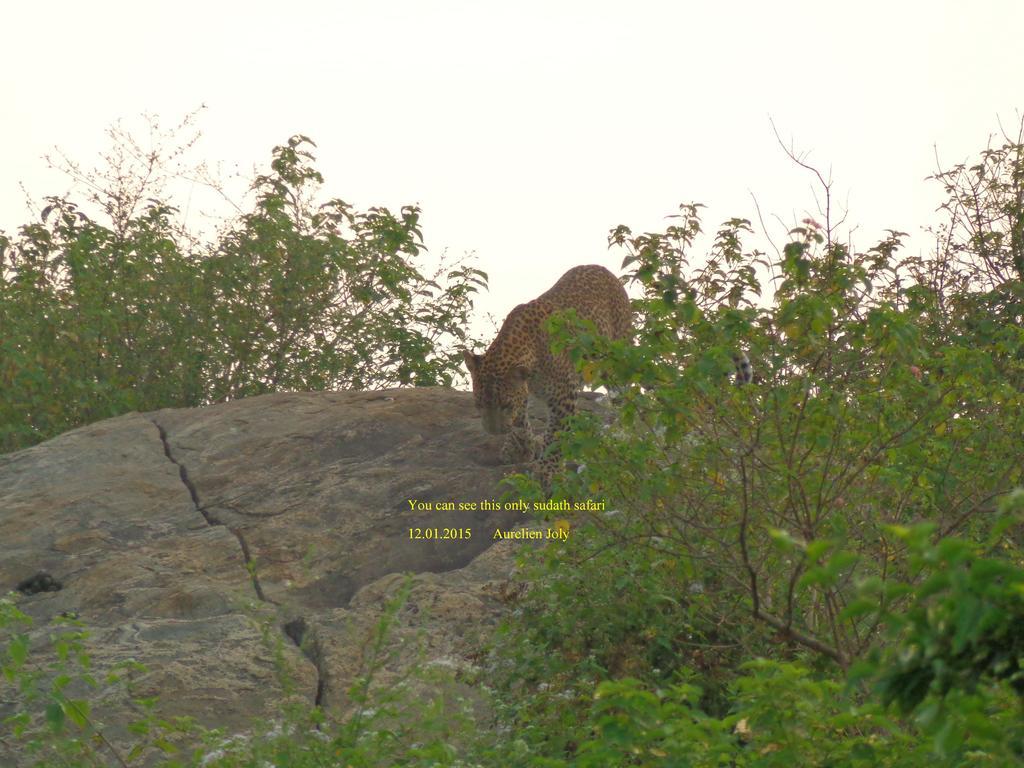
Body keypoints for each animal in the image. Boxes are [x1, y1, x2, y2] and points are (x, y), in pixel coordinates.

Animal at [464, 264, 630, 481]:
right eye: (479, 405)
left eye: (505, 405)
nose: (494, 432)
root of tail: (603, 269)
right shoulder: (523, 389)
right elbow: (521, 422)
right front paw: (522, 448)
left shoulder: (564, 396)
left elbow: (556, 435)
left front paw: (548, 470)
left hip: (616, 357)